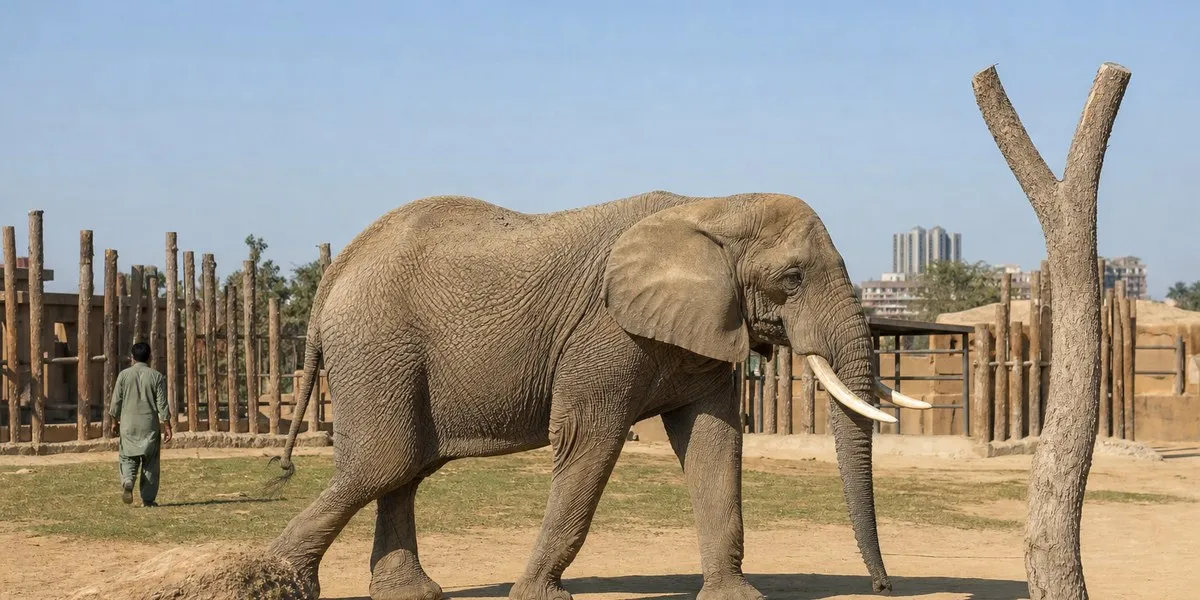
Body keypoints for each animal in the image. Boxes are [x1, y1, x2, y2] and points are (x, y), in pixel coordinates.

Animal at [265, 190, 931, 600]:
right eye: (792, 277)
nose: (883, 587)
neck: (714, 206)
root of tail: (336, 270)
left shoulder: (707, 329)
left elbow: (714, 444)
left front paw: (738, 596)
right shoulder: (605, 332)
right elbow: (591, 439)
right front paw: (537, 595)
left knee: (405, 468)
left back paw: (410, 594)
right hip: (379, 346)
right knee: (387, 461)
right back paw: (272, 581)